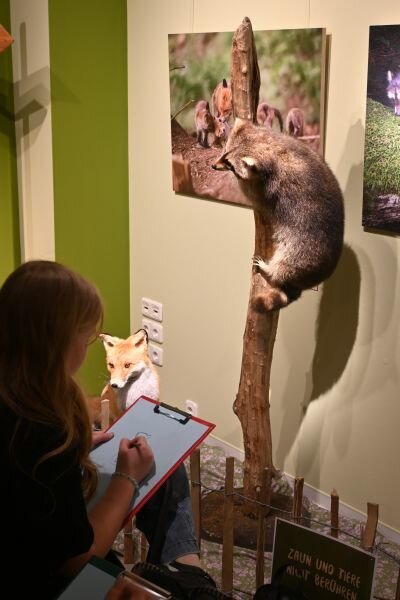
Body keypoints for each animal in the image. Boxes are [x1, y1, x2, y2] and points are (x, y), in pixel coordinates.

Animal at [211, 119, 346, 312]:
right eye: (224, 152)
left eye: (229, 164)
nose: (213, 166)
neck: (273, 145)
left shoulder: (269, 189)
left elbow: (251, 193)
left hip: (302, 256)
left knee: (286, 266)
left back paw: (270, 269)